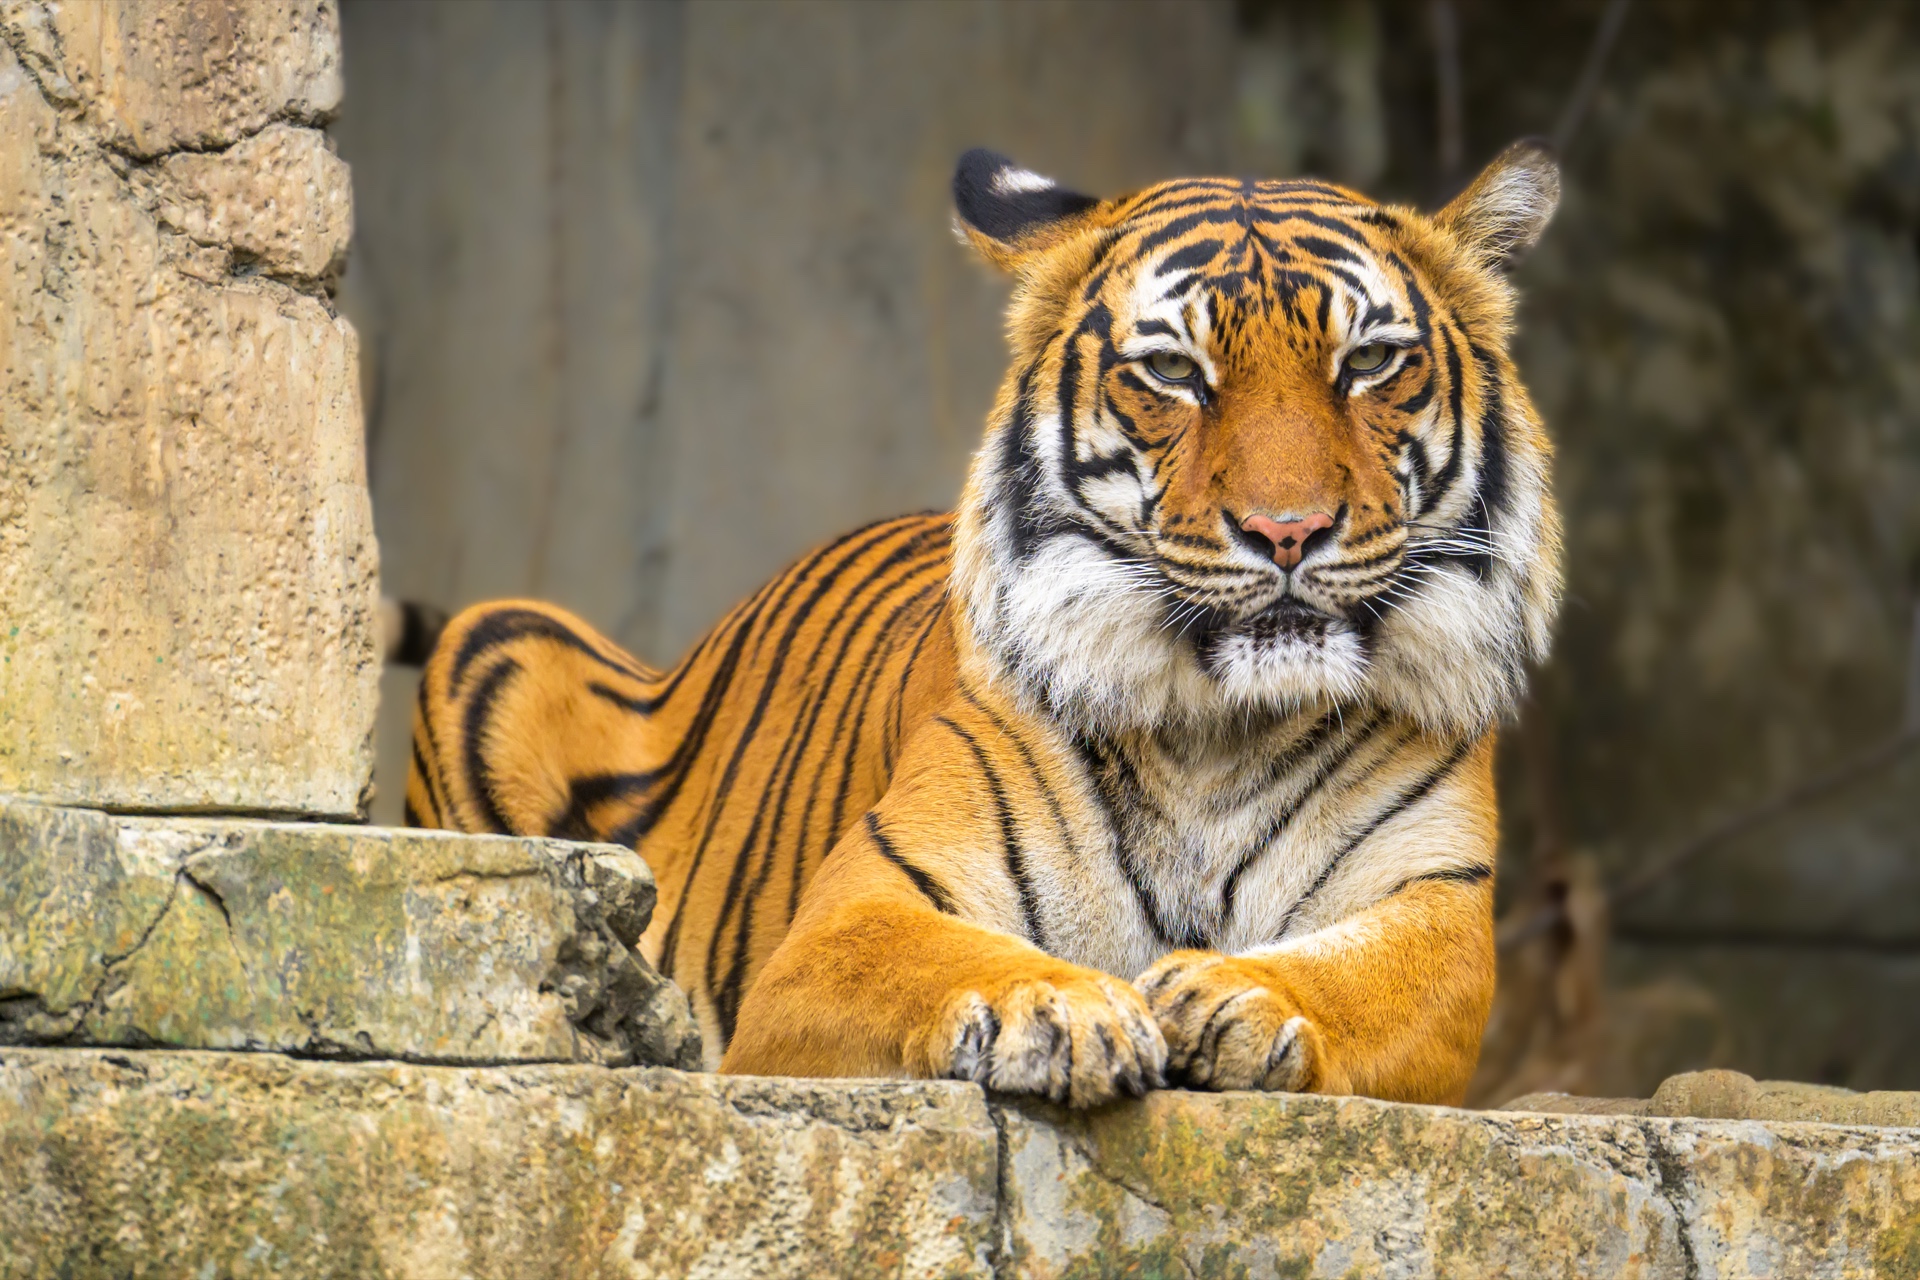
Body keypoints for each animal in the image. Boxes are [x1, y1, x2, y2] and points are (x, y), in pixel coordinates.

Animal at [406, 141, 1563, 1108]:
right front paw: (1059, 1005)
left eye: (1368, 363)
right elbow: (942, 955)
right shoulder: (853, 912)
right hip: (498, 636)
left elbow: (1376, 978)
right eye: (1173, 372)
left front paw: (1240, 998)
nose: (1290, 531)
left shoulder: (1440, 902)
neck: (1221, 729)